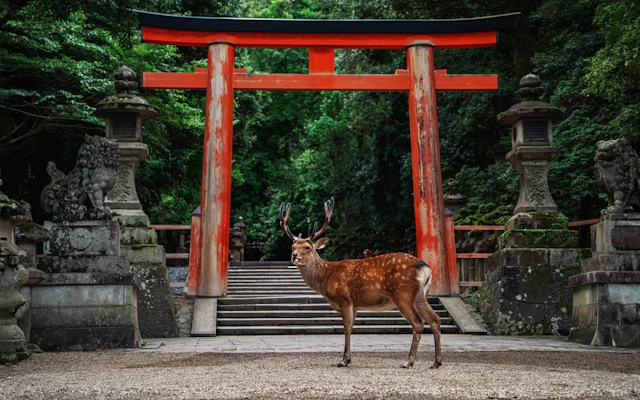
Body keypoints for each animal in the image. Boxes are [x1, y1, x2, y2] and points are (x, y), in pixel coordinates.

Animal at [279, 198, 442, 369]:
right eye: (292, 246)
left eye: (307, 247)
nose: (294, 255)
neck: (326, 278)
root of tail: (426, 268)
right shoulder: (355, 304)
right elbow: (351, 327)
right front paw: (348, 359)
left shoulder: (345, 299)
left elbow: (346, 328)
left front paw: (344, 360)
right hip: (421, 295)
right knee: (434, 319)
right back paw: (436, 362)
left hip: (402, 294)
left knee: (418, 323)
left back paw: (408, 362)